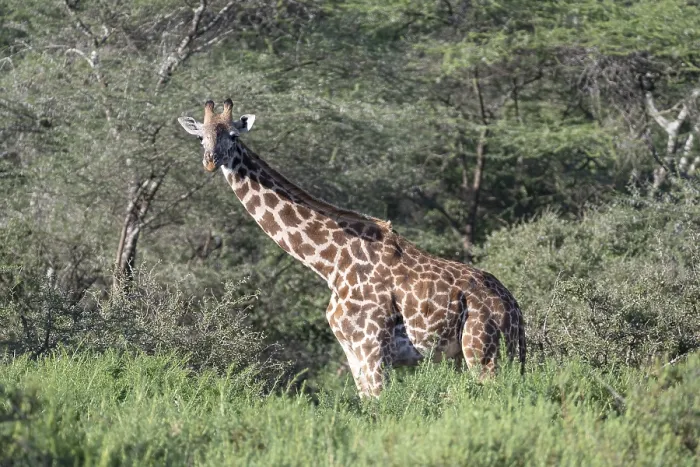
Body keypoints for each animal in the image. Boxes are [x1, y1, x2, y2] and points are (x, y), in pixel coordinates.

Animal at [178, 99, 526, 397]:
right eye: (201, 138)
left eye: (233, 135)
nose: (211, 162)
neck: (330, 263)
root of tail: (514, 308)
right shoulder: (353, 351)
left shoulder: (372, 347)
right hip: (488, 354)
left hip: (482, 350)